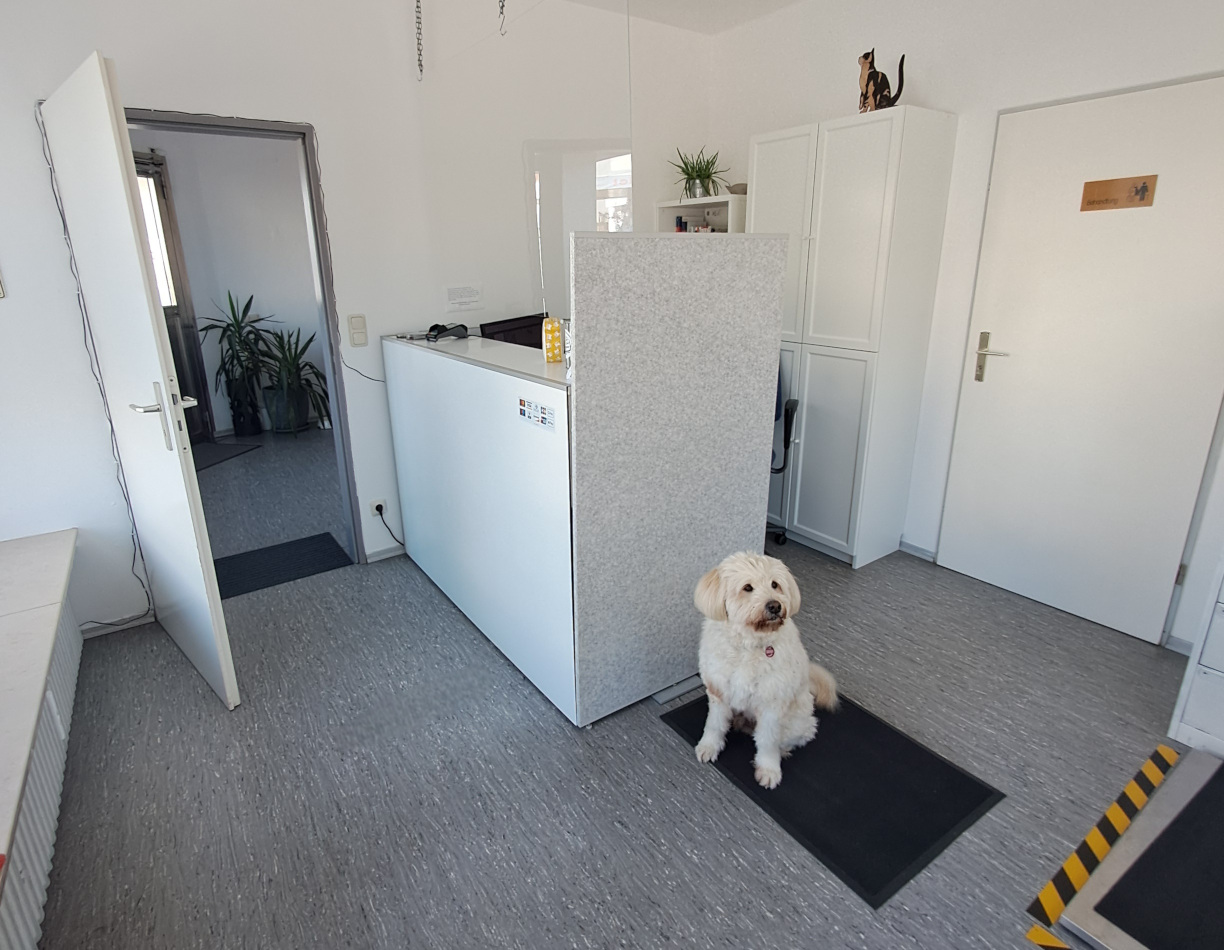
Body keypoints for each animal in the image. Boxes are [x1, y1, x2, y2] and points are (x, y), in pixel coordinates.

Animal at [693, 552, 838, 789]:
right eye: (747, 587)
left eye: (775, 584)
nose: (775, 606)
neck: (749, 645)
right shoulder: (718, 692)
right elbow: (714, 724)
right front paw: (709, 746)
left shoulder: (772, 704)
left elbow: (768, 741)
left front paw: (769, 769)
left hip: (797, 722)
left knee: (797, 735)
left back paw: (783, 749)